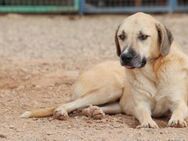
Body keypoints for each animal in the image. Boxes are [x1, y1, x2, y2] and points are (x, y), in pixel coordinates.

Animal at [21, 12, 188, 128]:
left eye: (143, 36)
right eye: (121, 36)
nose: (125, 57)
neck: (154, 72)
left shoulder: (179, 102)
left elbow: (179, 109)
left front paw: (177, 119)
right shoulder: (141, 104)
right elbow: (144, 113)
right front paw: (147, 122)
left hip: (114, 99)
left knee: (93, 107)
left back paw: (93, 111)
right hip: (111, 88)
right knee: (70, 104)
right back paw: (63, 111)